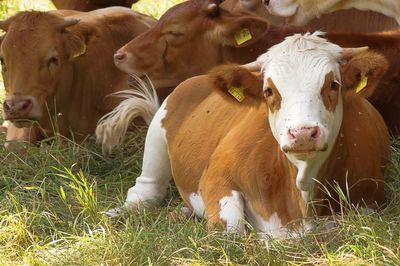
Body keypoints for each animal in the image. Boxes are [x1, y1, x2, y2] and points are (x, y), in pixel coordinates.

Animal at [108, 33, 390, 239]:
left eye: (333, 84)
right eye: (268, 91)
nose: (302, 133)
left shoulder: (370, 201)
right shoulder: (216, 177)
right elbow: (230, 233)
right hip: (157, 133)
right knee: (145, 191)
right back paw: (119, 213)